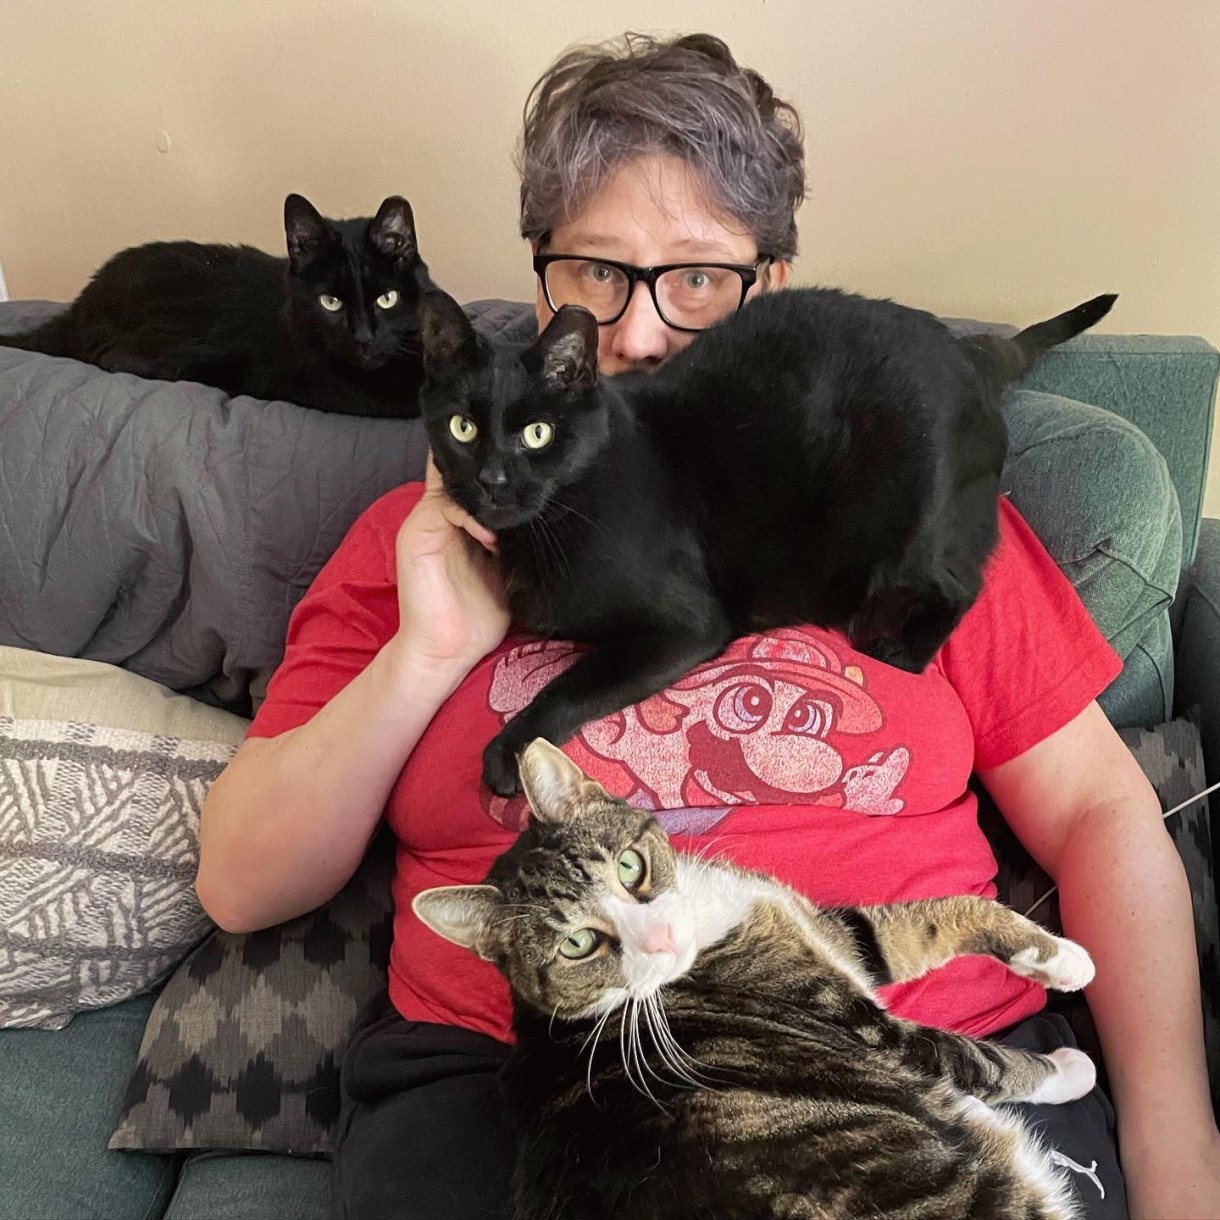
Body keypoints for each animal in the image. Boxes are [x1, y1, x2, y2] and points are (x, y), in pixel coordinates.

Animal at [417, 736, 1098, 1215]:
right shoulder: (861, 1024)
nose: (659, 940)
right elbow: (977, 1059)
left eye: (631, 867)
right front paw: (1068, 1068)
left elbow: (928, 919)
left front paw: (1057, 955)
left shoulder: (838, 935)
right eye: (577, 944)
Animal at [419, 281, 1117, 795]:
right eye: (460, 428)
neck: (553, 524)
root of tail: (972, 348)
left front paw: (510, 750)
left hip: (910, 527)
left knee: (961, 584)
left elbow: (572, 683)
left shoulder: (684, 627)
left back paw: (899, 650)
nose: (491, 481)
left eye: (536, 434)